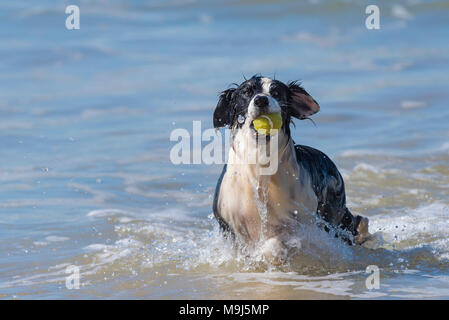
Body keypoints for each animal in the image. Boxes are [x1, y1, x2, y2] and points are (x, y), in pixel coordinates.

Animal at [212, 75, 370, 260]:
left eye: (276, 92)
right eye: (246, 92)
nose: (261, 100)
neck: (260, 162)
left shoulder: (303, 223)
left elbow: (275, 242)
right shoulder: (229, 224)